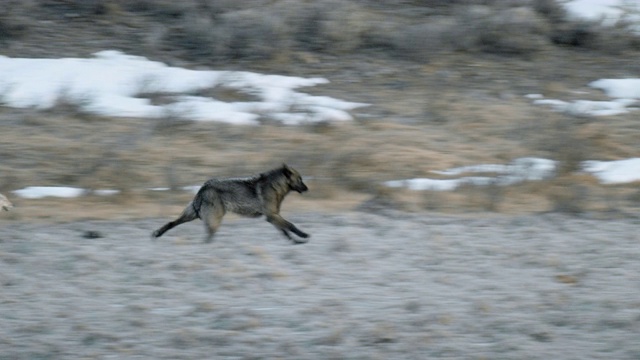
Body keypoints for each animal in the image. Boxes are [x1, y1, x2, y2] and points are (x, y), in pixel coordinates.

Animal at [151, 165, 308, 243]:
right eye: (300, 179)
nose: (307, 188)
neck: (276, 185)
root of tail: (204, 187)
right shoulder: (272, 216)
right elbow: (291, 226)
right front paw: (304, 235)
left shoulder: (273, 217)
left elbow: (285, 231)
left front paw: (295, 242)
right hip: (214, 220)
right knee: (207, 237)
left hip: (192, 215)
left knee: (172, 222)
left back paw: (157, 234)